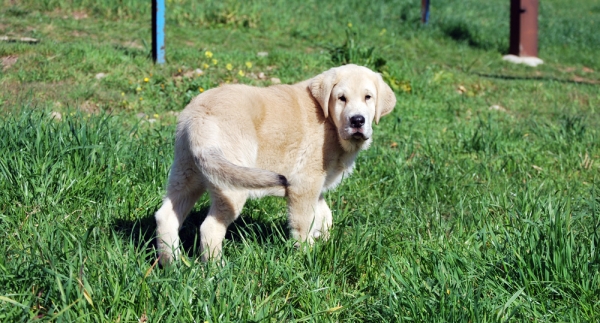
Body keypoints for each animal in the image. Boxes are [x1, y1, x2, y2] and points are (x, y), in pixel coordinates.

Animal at [155, 64, 396, 264]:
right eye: (341, 98)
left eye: (368, 97)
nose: (357, 120)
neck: (329, 122)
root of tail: (198, 119)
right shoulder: (304, 185)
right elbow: (304, 223)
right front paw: (308, 256)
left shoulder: (315, 187)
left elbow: (325, 216)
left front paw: (325, 242)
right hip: (231, 186)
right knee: (210, 228)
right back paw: (216, 269)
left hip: (187, 173)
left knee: (165, 217)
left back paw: (172, 264)